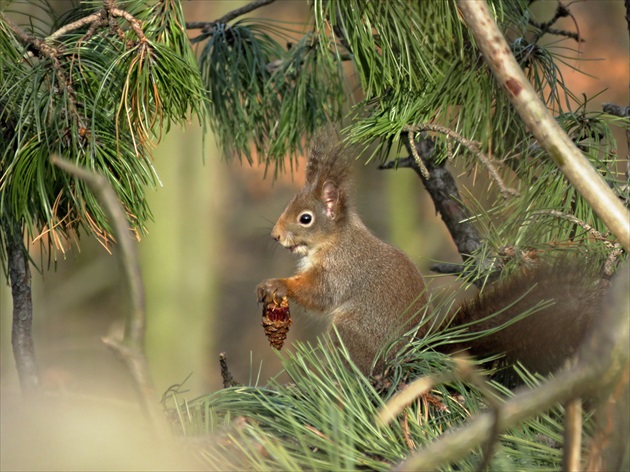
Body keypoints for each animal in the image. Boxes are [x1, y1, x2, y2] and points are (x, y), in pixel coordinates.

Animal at [256, 128, 608, 376]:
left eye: (305, 218)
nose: (274, 235)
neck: (335, 240)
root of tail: (412, 354)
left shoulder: (342, 270)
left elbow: (320, 293)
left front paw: (277, 284)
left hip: (350, 331)